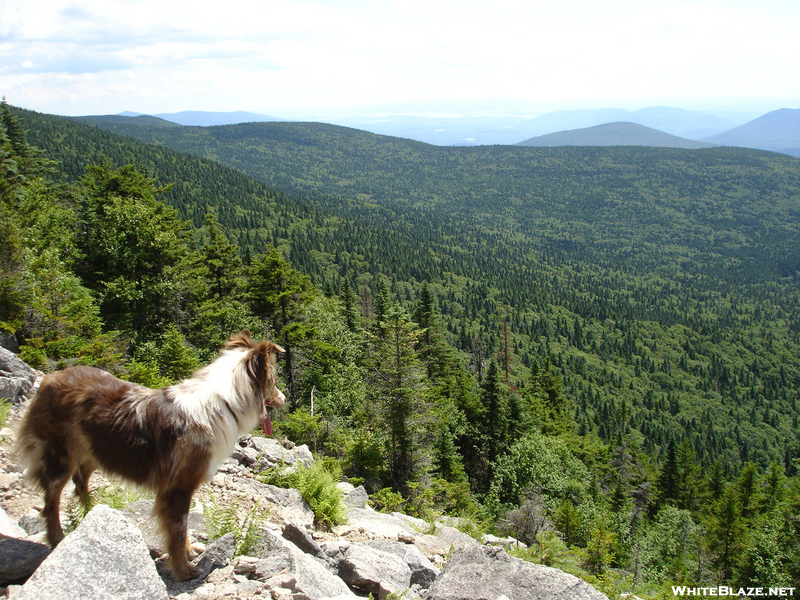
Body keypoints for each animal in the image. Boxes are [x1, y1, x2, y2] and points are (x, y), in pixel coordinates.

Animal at [15, 330, 286, 580]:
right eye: (273, 380)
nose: (284, 399)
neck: (224, 402)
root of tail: (51, 377)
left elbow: (182, 528)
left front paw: (188, 553)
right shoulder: (178, 486)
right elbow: (177, 529)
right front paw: (184, 569)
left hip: (96, 448)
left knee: (80, 481)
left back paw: (90, 513)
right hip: (60, 455)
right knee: (51, 500)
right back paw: (57, 537)